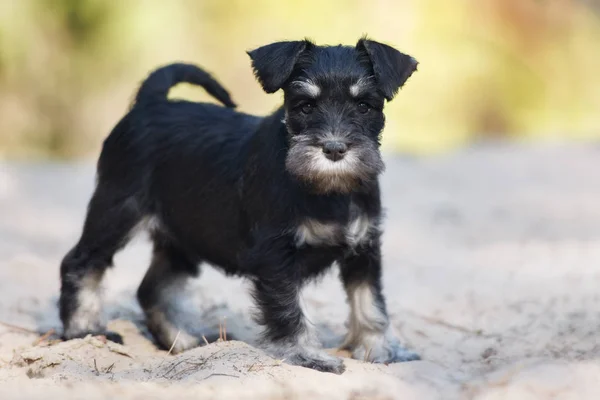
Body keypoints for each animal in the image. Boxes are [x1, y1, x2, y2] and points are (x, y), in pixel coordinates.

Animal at [58, 37, 420, 376]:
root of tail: (152, 102)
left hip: (182, 238)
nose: (334, 149)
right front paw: (306, 356)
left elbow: (370, 304)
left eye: (364, 106)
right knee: (82, 262)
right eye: (304, 106)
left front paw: (382, 350)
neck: (330, 192)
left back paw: (183, 341)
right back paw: (84, 330)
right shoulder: (276, 257)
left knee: (151, 289)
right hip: (118, 211)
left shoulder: (364, 249)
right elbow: (289, 311)